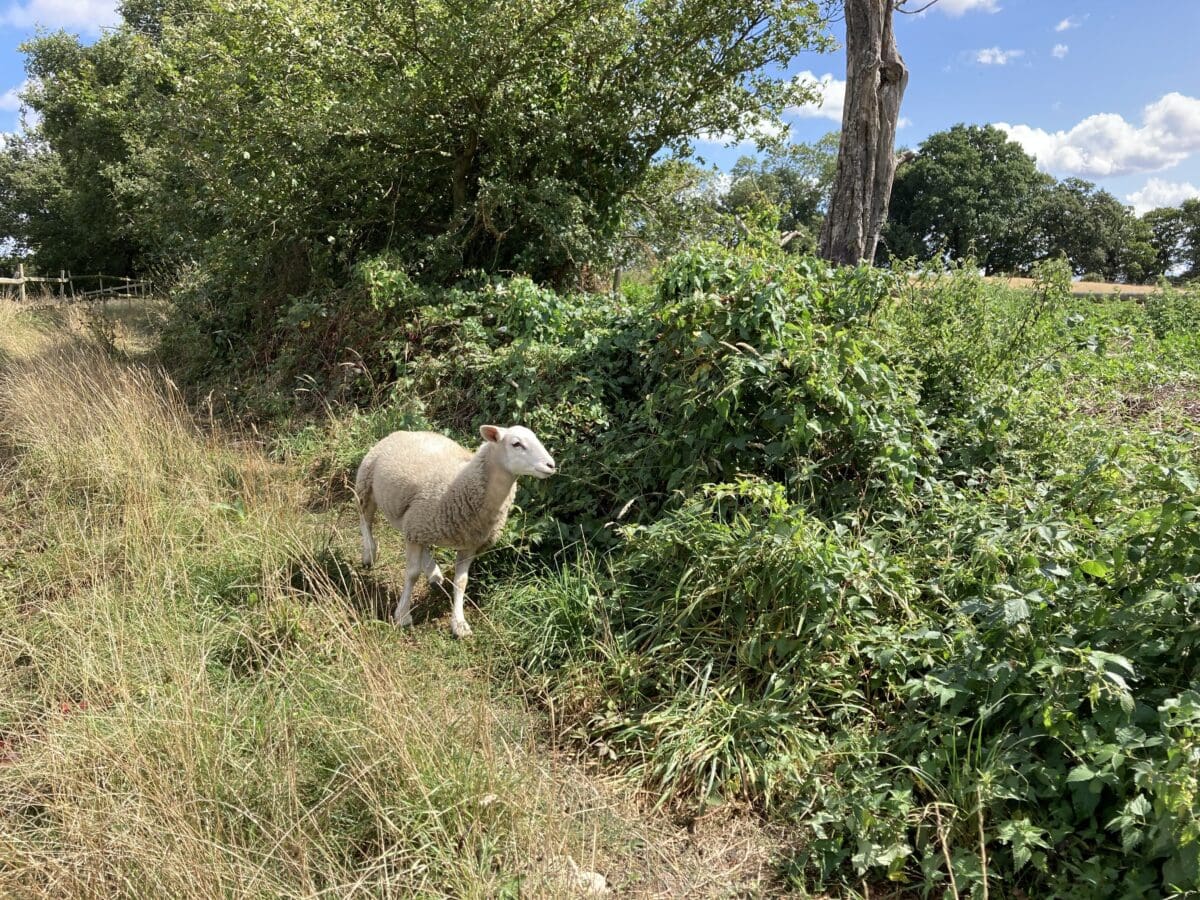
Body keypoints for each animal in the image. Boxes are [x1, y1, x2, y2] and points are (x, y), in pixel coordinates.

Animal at [355, 424, 557, 637]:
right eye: (516, 444)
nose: (551, 465)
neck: (460, 484)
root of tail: (403, 432)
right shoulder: (416, 527)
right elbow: (412, 574)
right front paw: (402, 615)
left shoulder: (468, 543)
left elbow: (461, 582)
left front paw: (459, 623)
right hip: (367, 485)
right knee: (365, 520)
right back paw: (369, 553)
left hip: (410, 519)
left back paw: (434, 573)